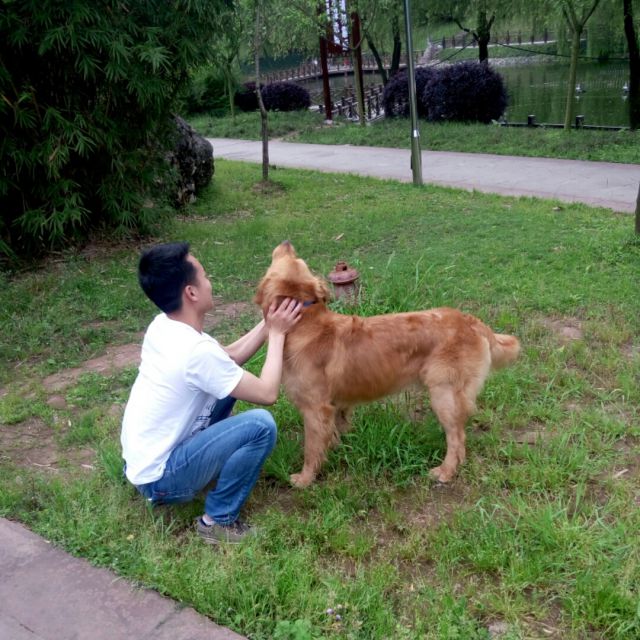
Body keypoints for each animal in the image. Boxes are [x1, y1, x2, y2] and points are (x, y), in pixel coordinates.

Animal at [255, 241, 520, 488]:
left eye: (293, 258)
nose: (287, 242)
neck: (305, 322)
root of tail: (470, 321)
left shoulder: (315, 408)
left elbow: (311, 450)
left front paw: (305, 478)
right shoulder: (335, 405)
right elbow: (334, 434)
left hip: (444, 394)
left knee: (457, 438)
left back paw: (445, 472)